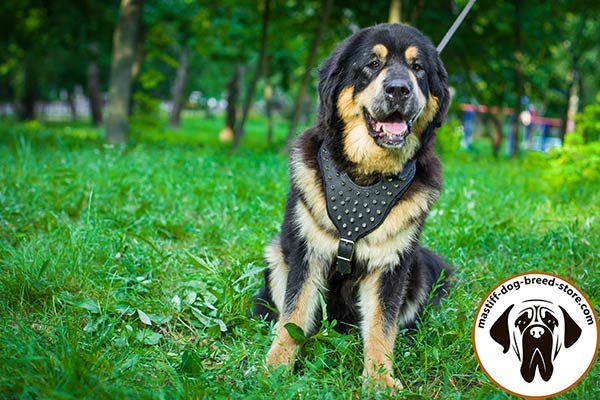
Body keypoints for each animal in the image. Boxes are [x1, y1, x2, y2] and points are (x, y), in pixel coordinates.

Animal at [252, 23, 450, 390]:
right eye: (372, 63)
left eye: (418, 68)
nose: (398, 89)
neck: (366, 175)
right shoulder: (307, 251)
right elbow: (294, 315)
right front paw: (274, 369)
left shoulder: (392, 264)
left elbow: (381, 327)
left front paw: (380, 380)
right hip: (277, 255)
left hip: (418, 272)